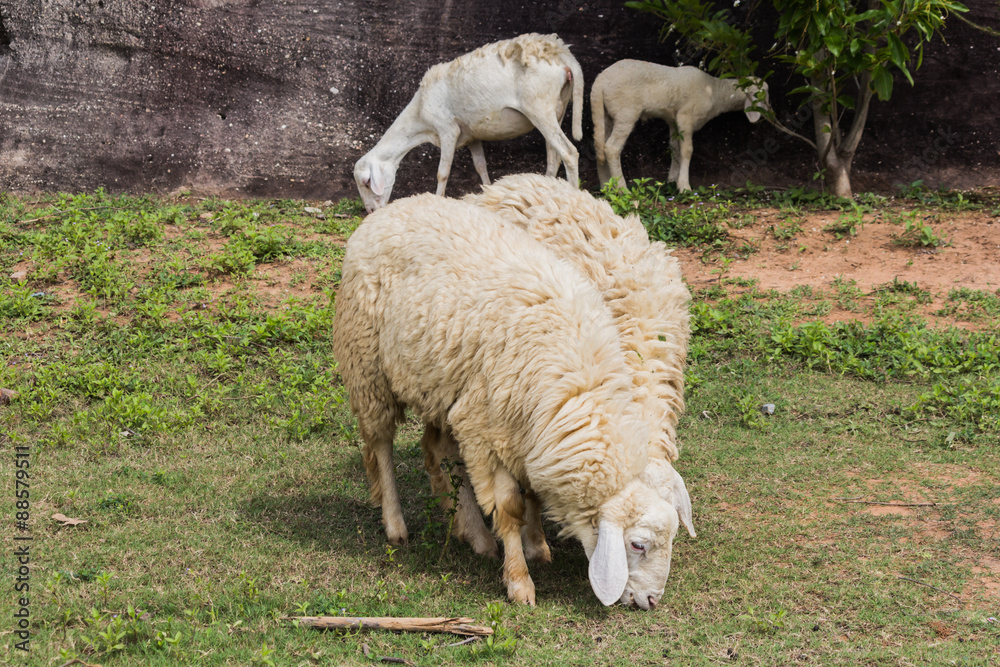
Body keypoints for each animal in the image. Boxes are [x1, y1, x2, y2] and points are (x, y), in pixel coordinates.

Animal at [331, 194, 695, 607]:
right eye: (637, 545)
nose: (651, 601)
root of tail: (392, 207)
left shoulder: (532, 436)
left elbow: (532, 492)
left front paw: (535, 545)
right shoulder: (488, 432)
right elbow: (509, 507)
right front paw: (520, 581)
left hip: (439, 384)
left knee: (435, 448)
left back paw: (471, 531)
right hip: (367, 366)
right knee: (381, 445)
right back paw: (397, 524)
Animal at [353, 33, 584, 213]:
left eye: (366, 182)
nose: (371, 211)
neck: (420, 121)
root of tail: (561, 53)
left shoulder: (448, 130)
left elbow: (442, 173)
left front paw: (437, 200)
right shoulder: (472, 135)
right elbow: (481, 166)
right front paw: (488, 194)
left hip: (539, 106)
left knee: (569, 153)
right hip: (559, 106)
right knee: (554, 157)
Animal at [591, 60, 769, 191]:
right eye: (762, 95)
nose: (770, 111)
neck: (715, 91)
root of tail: (600, 82)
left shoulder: (673, 120)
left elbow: (675, 148)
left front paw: (671, 180)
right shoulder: (685, 116)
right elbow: (687, 150)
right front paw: (684, 186)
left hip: (605, 115)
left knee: (600, 147)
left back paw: (606, 187)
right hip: (626, 112)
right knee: (612, 148)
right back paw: (622, 189)